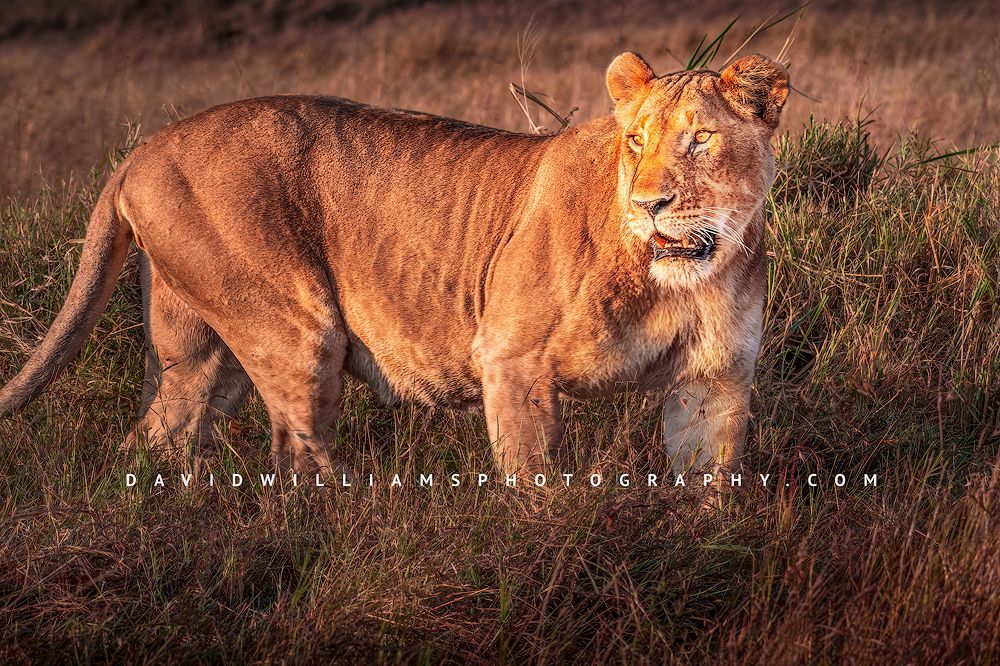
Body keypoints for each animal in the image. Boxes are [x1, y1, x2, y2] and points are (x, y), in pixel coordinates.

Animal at [0, 52, 789, 477]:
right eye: (635, 140)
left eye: (700, 140)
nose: (653, 203)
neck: (684, 283)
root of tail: (142, 148)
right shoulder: (512, 359)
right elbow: (538, 485)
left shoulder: (716, 381)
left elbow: (709, 492)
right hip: (298, 329)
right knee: (298, 458)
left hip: (200, 358)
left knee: (155, 441)